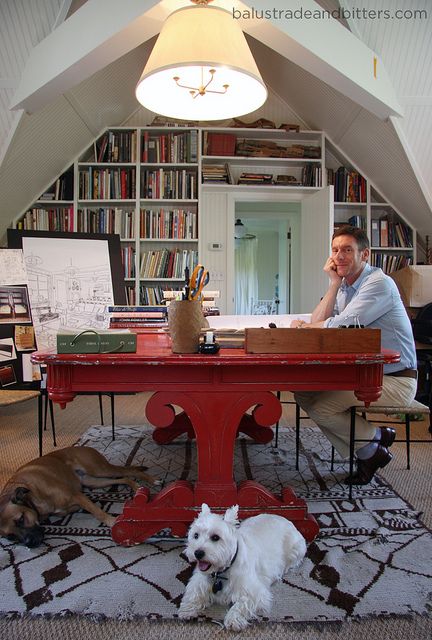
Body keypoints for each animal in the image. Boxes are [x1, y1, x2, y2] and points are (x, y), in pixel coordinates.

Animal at [0, 448, 154, 548]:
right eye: (10, 537)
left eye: (21, 519)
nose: (29, 544)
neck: (34, 497)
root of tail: (82, 446)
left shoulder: (77, 496)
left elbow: (97, 512)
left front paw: (113, 522)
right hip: (93, 481)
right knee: (124, 478)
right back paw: (136, 487)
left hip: (100, 470)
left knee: (130, 471)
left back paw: (151, 480)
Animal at [179, 504, 308, 632]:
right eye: (196, 535)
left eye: (215, 537)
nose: (197, 553)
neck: (222, 571)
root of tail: (284, 518)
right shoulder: (199, 581)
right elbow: (194, 593)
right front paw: (187, 609)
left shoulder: (255, 592)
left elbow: (241, 604)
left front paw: (233, 620)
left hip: (296, 549)